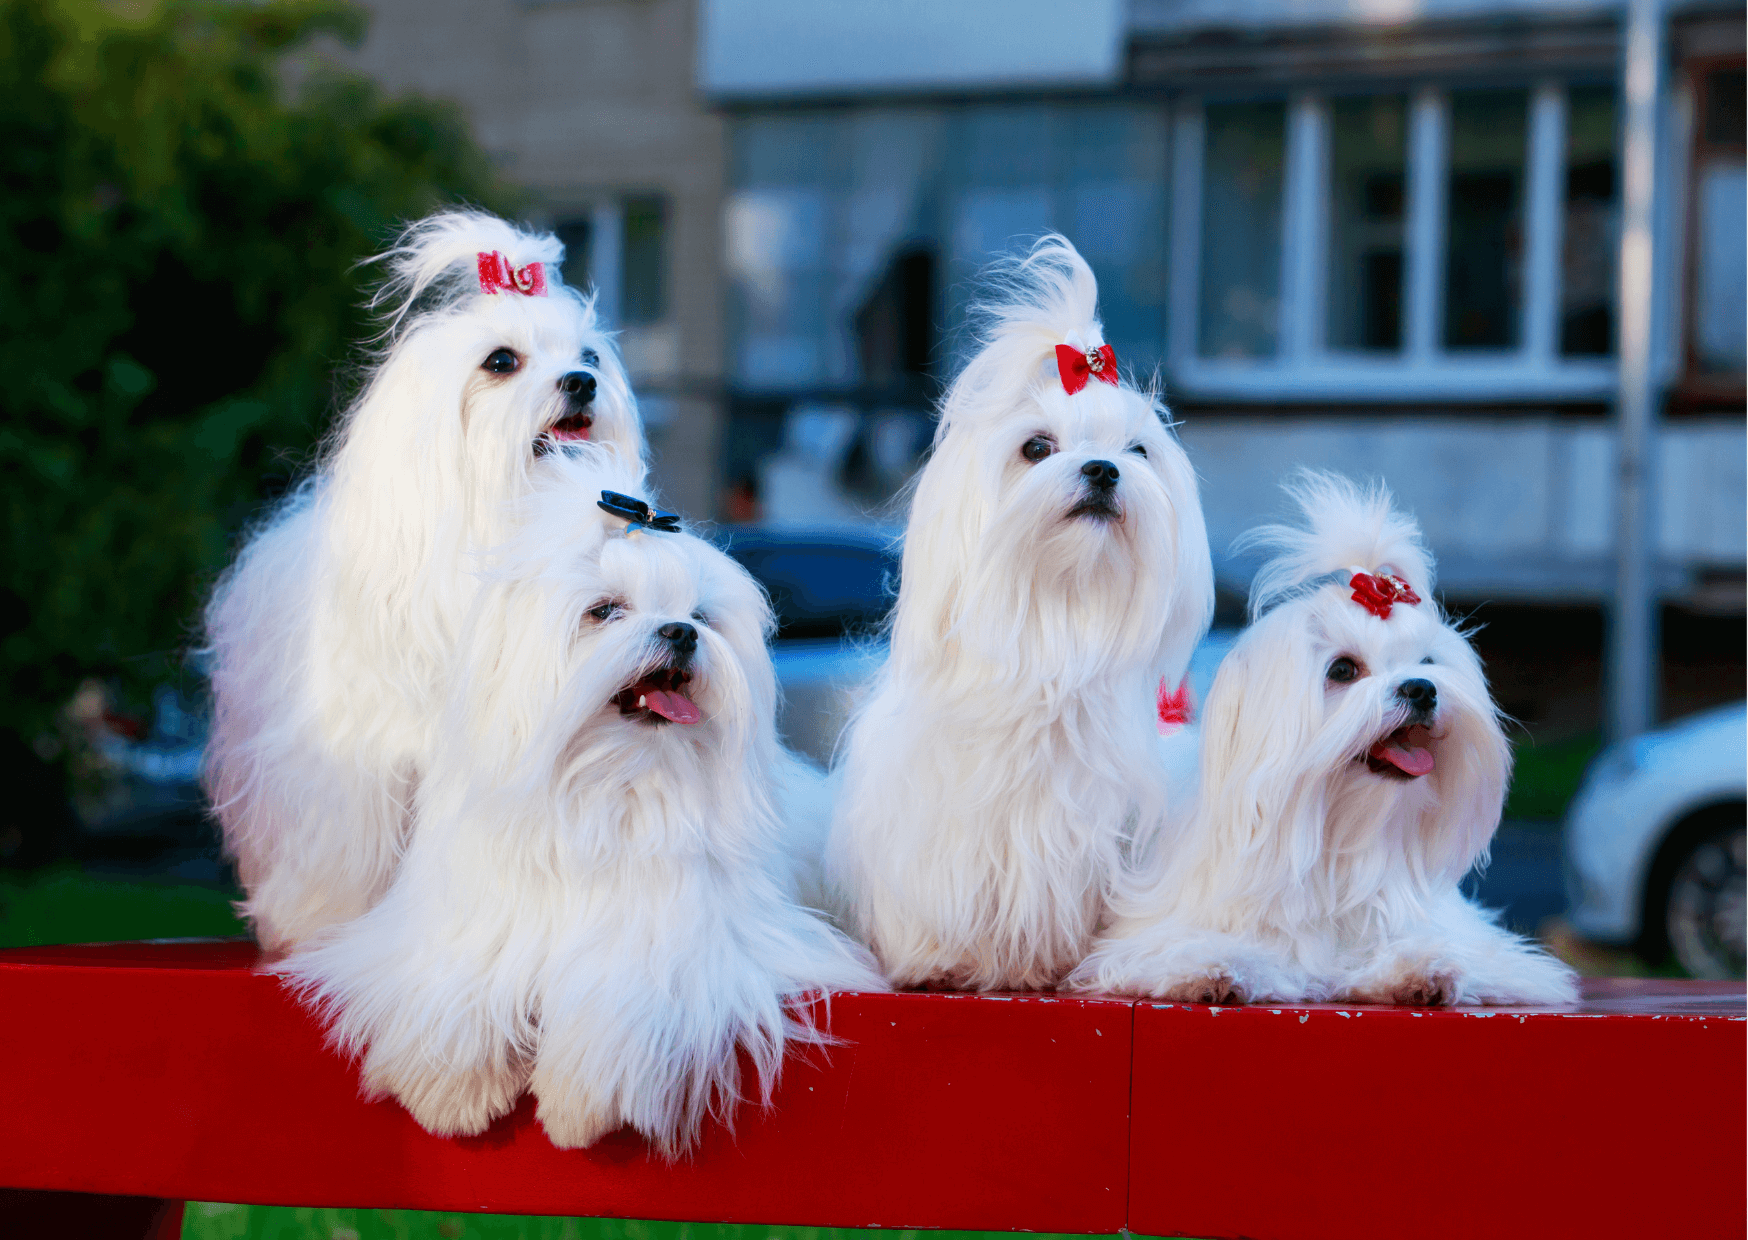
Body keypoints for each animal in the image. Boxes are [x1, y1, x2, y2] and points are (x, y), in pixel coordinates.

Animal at [286, 451, 887, 1154]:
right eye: (605, 610)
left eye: (703, 617)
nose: (681, 633)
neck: (612, 789)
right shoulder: (457, 927)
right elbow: (454, 981)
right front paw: (450, 1091)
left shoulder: (705, 948)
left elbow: (625, 990)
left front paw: (576, 1101)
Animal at [1076, 475, 1587, 1007]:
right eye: (1342, 669)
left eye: (1427, 662)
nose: (1422, 690)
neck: (1337, 849)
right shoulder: (1148, 934)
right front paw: (1216, 966)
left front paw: (1422, 968)